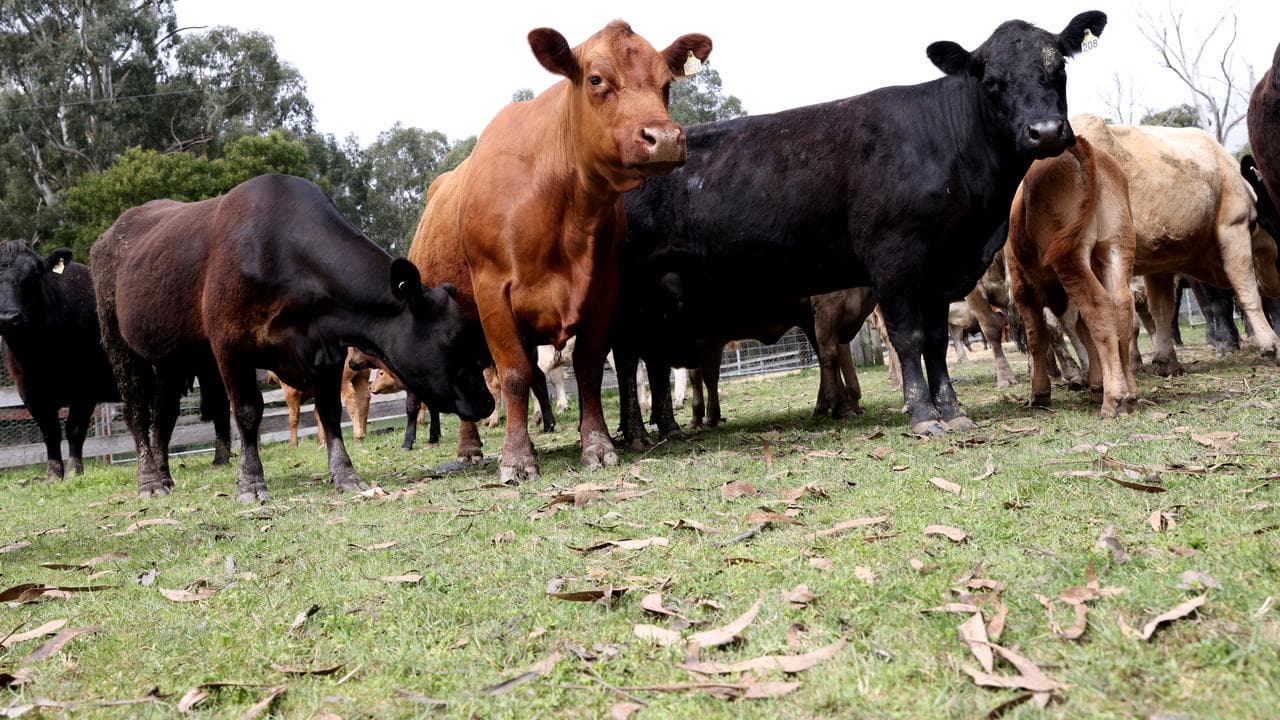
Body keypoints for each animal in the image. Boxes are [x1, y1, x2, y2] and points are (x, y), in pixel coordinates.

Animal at [92, 174, 493, 501]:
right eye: (453, 337)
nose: (487, 401)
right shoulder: (230, 346)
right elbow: (248, 411)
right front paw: (251, 482)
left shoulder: (328, 350)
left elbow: (329, 411)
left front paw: (345, 474)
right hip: (120, 345)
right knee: (136, 411)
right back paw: (149, 480)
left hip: (172, 359)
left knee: (164, 414)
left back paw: (163, 475)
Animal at [407, 21, 712, 483]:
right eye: (596, 79)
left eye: (666, 84)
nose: (663, 138)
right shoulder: (493, 293)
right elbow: (515, 375)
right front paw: (517, 458)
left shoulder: (604, 290)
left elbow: (587, 367)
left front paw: (597, 445)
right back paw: (471, 448)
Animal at [614, 11, 1107, 441]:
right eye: (991, 81)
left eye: (1059, 67)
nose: (1045, 131)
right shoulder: (895, 259)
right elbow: (908, 338)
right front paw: (924, 414)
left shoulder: (941, 268)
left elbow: (935, 341)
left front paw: (952, 410)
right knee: (625, 358)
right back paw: (635, 434)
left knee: (647, 359)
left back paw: (658, 429)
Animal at [1005, 137, 1138, 417]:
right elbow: (1083, 330)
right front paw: (1096, 384)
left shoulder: (1023, 288)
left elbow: (1037, 337)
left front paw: (1040, 393)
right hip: (1118, 246)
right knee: (1120, 307)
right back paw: (1129, 393)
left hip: (1070, 257)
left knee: (1099, 307)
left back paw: (1113, 399)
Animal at [1073, 114, 1280, 376]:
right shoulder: (1234, 225)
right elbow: (1247, 290)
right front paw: (1272, 344)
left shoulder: (1158, 262)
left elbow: (1162, 309)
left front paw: (1166, 360)